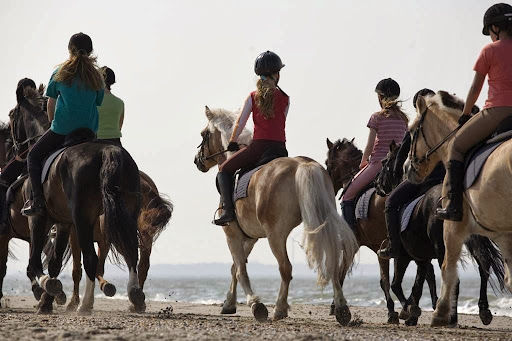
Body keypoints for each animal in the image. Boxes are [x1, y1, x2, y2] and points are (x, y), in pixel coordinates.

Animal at [10, 85, 146, 314]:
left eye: (12, 116)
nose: (14, 148)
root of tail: (108, 152)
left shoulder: (38, 219)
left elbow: (35, 262)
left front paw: (47, 288)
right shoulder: (64, 223)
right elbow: (54, 263)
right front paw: (47, 301)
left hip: (83, 218)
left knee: (90, 258)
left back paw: (86, 304)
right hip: (126, 212)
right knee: (130, 253)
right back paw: (135, 294)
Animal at [194, 106, 358, 324]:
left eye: (204, 134)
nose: (197, 161)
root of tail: (303, 165)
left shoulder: (232, 235)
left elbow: (240, 270)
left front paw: (255, 304)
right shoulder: (250, 238)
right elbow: (234, 268)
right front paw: (229, 303)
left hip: (275, 235)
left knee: (285, 269)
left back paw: (279, 309)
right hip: (324, 221)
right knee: (332, 261)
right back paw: (341, 308)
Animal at [376, 140, 508, 324]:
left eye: (385, 162)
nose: (376, 184)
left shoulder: (403, 256)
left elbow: (398, 284)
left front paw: (408, 310)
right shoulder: (421, 258)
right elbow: (419, 283)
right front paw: (412, 312)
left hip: (441, 248)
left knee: (454, 279)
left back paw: (449, 317)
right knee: (484, 266)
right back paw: (482, 311)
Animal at [406, 91, 512, 326]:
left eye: (412, 130)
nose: (407, 168)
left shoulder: (452, 226)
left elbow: (448, 268)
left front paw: (440, 313)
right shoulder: (502, 233)